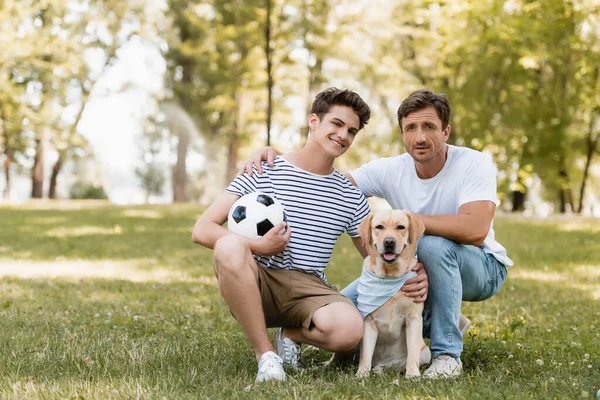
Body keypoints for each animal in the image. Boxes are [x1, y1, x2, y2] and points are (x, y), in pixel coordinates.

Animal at [354, 209, 428, 378]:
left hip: (425, 352)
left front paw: (413, 374)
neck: (390, 275)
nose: (389, 242)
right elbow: (365, 355)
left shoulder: (414, 319)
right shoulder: (368, 322)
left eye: (400, 227)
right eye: (379, 227)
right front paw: (362, 374)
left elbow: (412, 353)